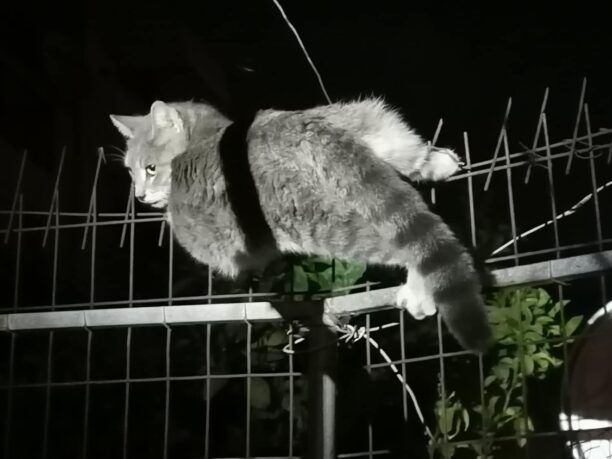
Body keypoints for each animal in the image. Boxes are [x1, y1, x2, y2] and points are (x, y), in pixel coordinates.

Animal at [110, 98, 492, 352]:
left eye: (150, 169)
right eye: (129, 171)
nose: (139, 196)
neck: (204, 135)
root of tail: (298, 129)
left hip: (316, 219)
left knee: (406, 247)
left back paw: (419, 287)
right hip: (372, 129)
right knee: (409, 160)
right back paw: (438, 161)